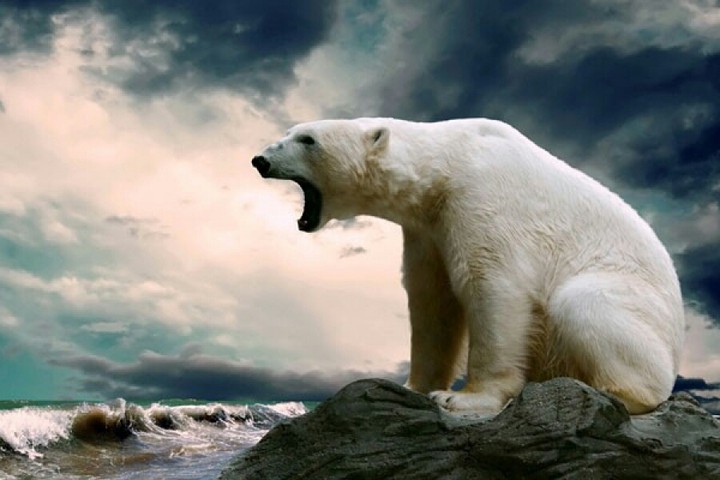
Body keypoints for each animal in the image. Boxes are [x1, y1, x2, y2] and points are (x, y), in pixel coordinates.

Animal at [251, 117, 685, 415]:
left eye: (308, 139)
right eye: (291, 132)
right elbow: (431, 301)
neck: (446, 164)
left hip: (631, 299)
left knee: (582, 304)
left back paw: (613, 392)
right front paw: (411, 385)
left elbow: (491, 285)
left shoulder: (482, 198)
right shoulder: (428, 228)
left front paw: (464, 398)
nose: (260, 159)